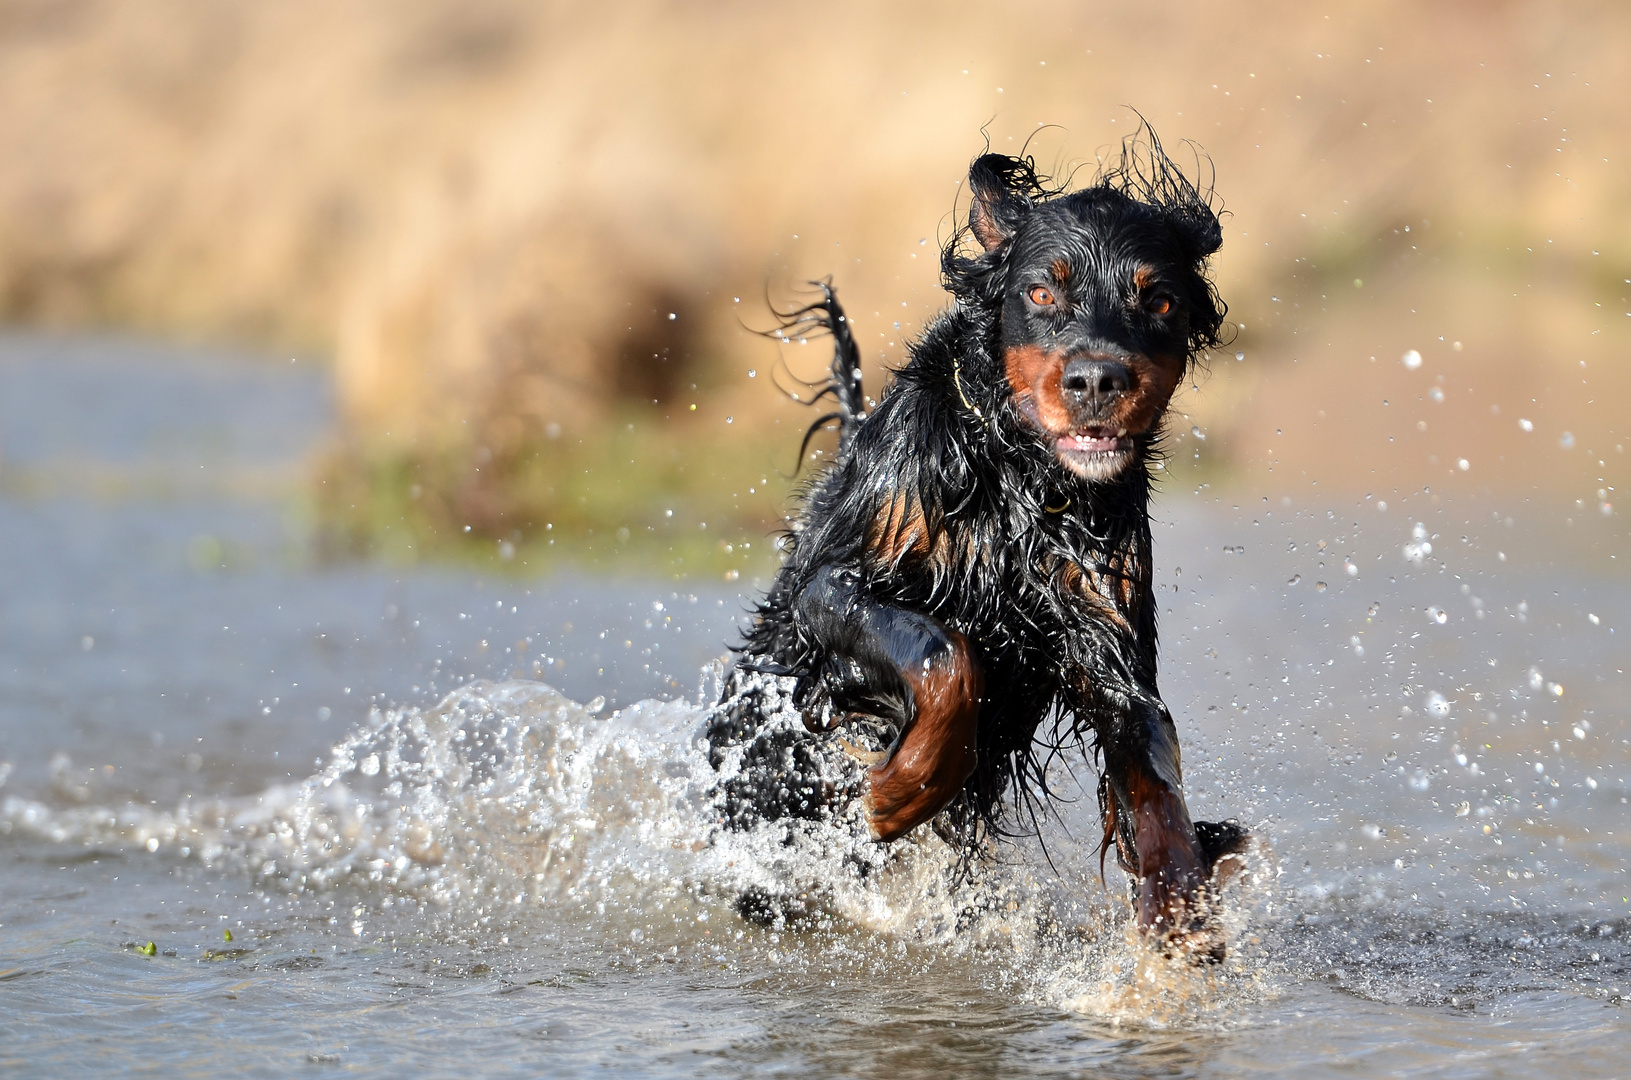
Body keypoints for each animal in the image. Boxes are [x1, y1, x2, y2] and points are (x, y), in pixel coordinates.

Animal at [704, 132, 1246, 946]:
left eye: (1158, 298)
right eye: (1043, 293)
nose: (1096, 381)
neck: (1020, 474)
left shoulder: (1109, 639)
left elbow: (1152, 776)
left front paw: (1179, 905)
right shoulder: (833, 586)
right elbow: (946, 657)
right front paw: (897, 793)